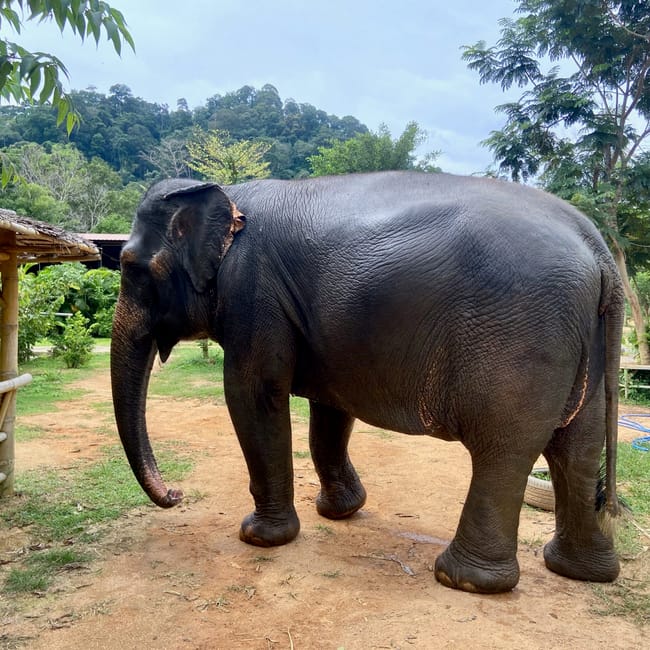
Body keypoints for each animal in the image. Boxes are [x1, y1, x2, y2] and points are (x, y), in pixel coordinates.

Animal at [111, 170, 624, 594]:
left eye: (131, 267)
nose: (175, 495)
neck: (228, 193)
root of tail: (599, 250)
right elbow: (330, 409)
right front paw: (340, 512)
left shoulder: (252, 292)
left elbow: (253, 394)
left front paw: (258, 537)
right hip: (587, 345)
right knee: (577, 448)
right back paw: (578, 571)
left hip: (520, 340)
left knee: (504, 449)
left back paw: (462, 579)